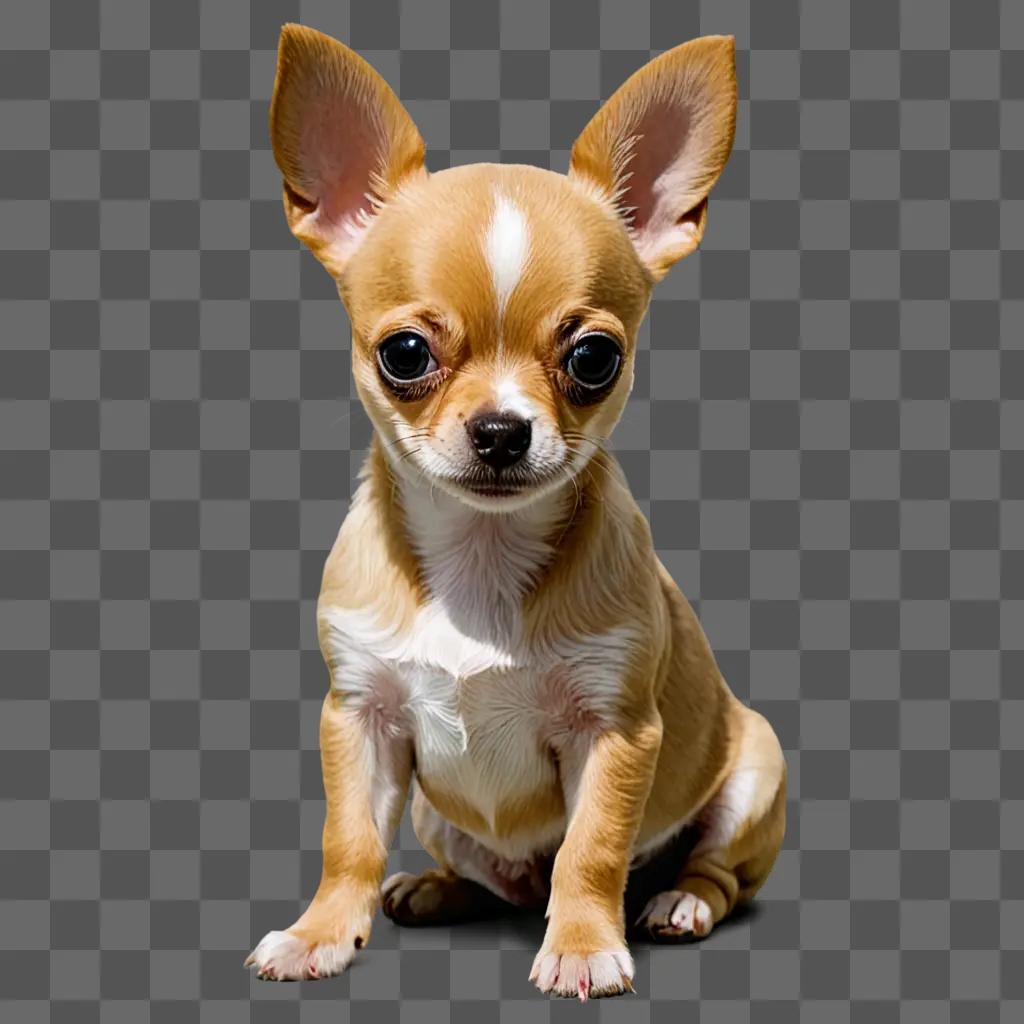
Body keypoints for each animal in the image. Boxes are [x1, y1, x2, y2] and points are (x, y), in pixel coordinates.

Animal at [245, 24, 782, 999]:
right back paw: (433, 889)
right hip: (435, 814)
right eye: (404, 354)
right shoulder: (360, 719)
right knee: (485, 873)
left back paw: (677, 901)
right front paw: (320, 933)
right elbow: (348, 841)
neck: (480, 553)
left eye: (595, 359)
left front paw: (583, 945)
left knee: (708, 871)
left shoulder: (614, 731)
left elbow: (591, 849)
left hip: (755, 770)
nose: (501, 429)